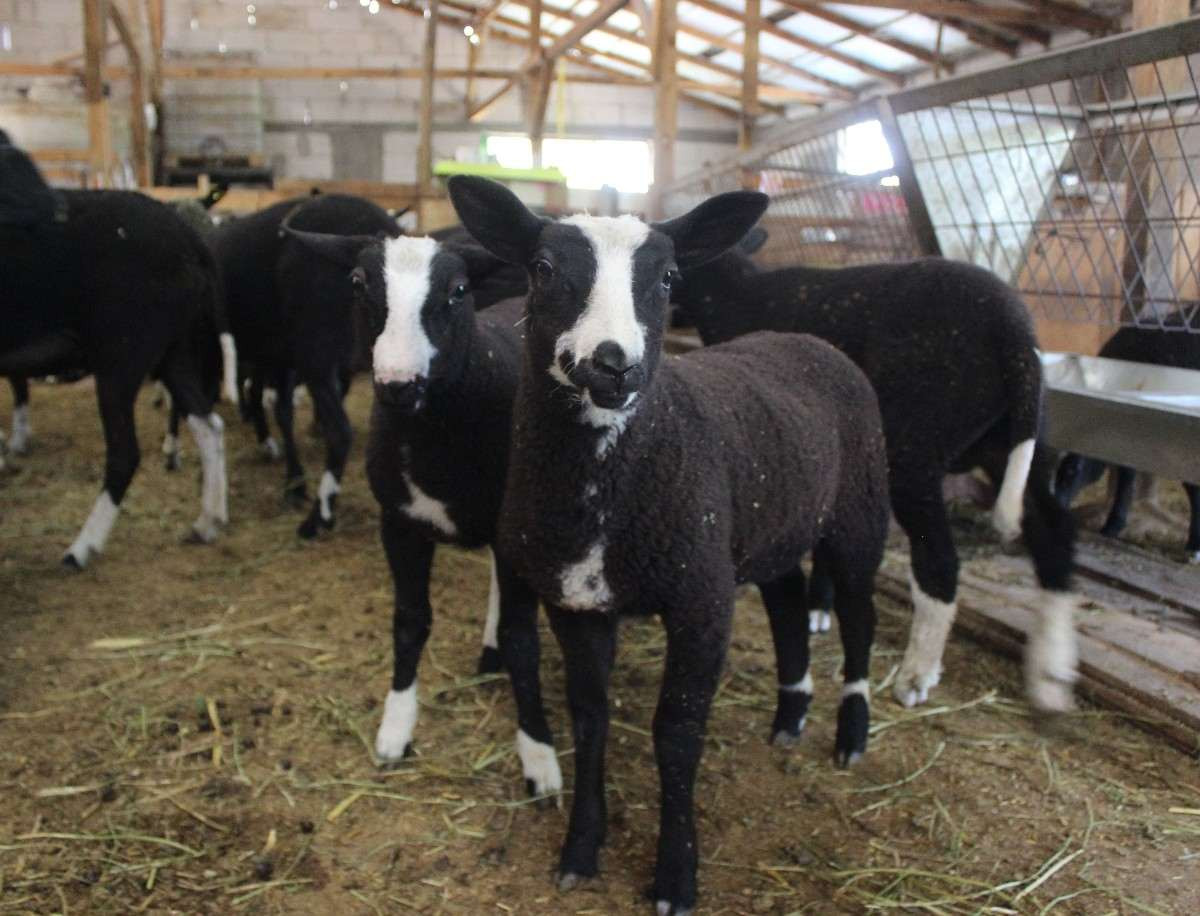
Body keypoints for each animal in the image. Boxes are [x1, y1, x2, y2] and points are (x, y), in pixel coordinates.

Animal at [451, 177, 892, 916]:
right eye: (542, 269)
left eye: (667, 277)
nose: (613, 363)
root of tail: (806, 338)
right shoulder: (578, 605)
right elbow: (591, 719)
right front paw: (581, 849)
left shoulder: (700, 599)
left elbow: (677, 735)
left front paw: (675, 877)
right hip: (768, 527)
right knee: (787, 604)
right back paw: (790, 714)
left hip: (858, 512)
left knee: (859, 616)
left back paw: (851, 735)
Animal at [676, 225, 1080, 710]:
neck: (734, 293)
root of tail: (1014, 334)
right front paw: (818, 608)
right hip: (1011, 441)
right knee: (1054, 533)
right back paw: (1050, 673)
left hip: (914, 452)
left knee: (940, 561)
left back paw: (917, 674)